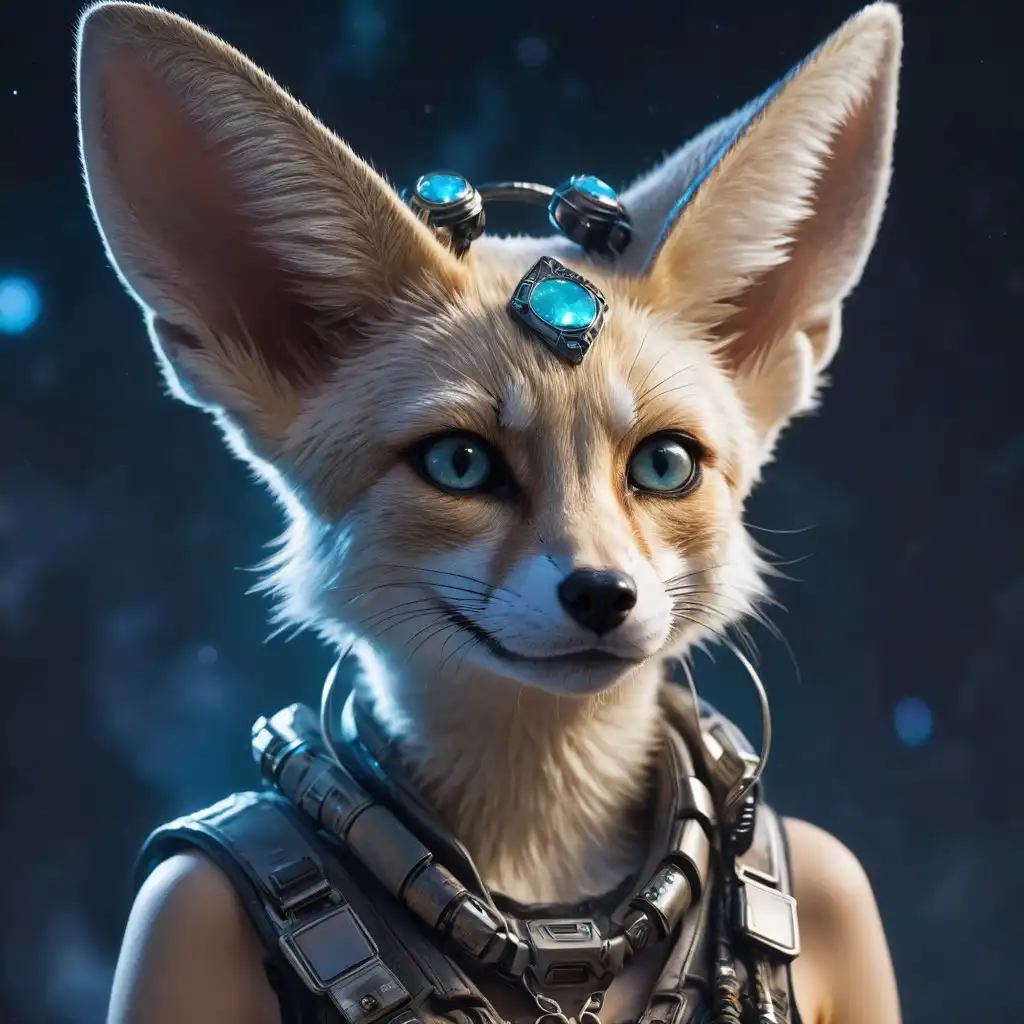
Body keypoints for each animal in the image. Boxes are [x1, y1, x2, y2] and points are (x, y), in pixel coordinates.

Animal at [77, 3, 904, 1024]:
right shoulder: (178, 912)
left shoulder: (837, 883)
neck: (547, 878)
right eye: (461, 463)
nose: (603, 595)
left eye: (665, 464)